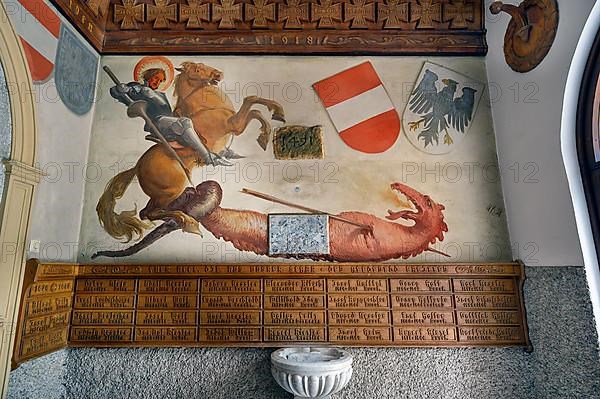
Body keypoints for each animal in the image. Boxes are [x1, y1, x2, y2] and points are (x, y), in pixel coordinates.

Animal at [95, 61, 286, 242]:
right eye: (196, 69)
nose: (218, 74)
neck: (206, 108)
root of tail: (138, 166)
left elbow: (253, 102)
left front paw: (277, 115)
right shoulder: (235, 124)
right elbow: (252, 104)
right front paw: (266, 132)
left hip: (162, 194)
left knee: (146, 213)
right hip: (172, 190)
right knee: (149, 213)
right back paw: (186, 220)